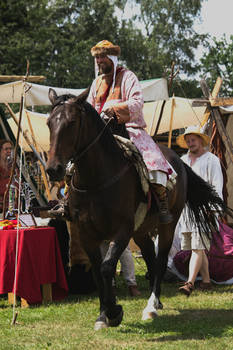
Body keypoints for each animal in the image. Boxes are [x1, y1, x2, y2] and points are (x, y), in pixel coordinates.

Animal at [46, 87, 228, 330]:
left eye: (72, 122)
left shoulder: (122, 230)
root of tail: (178, 159)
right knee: (150, 256)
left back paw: (151, 306)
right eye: (49, 123)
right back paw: (156, 300)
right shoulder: (87, 233)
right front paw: (102, 315)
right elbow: (97, 273)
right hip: (141, 230)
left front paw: (114, 312)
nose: (53, 169)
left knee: (161, 260)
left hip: (168, 225)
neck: (96, 180)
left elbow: (107, 267)